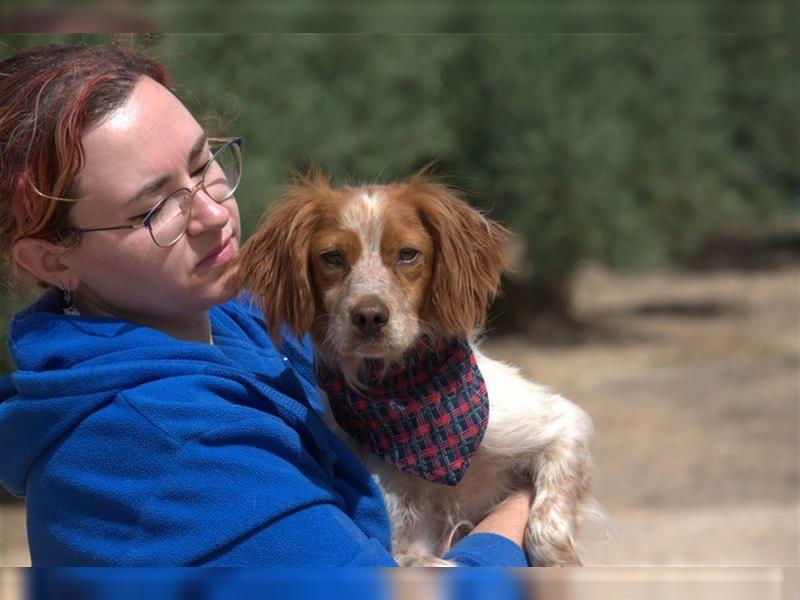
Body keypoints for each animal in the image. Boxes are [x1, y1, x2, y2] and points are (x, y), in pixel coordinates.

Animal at [234, 171, 604, 564]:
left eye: (408, 254)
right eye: (331, 257)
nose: (369, 316)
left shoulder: (562, 424)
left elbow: (545, 529)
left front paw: (561, 561)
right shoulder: (406, 543)